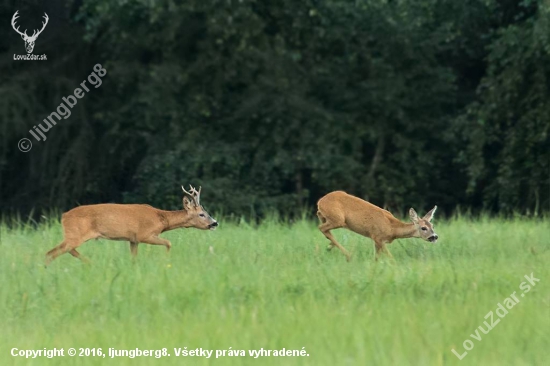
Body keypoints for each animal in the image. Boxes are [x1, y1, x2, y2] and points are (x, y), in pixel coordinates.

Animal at [45, 184, 218, 264]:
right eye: (202, 214)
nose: (215, 223)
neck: (162, 219)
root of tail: (64, 216)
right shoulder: (144, 235)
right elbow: (169, 243)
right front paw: (166, 261)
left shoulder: (133, 240)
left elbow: (134, 257)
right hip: (76, 233)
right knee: (53, 252)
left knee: (61, 251)